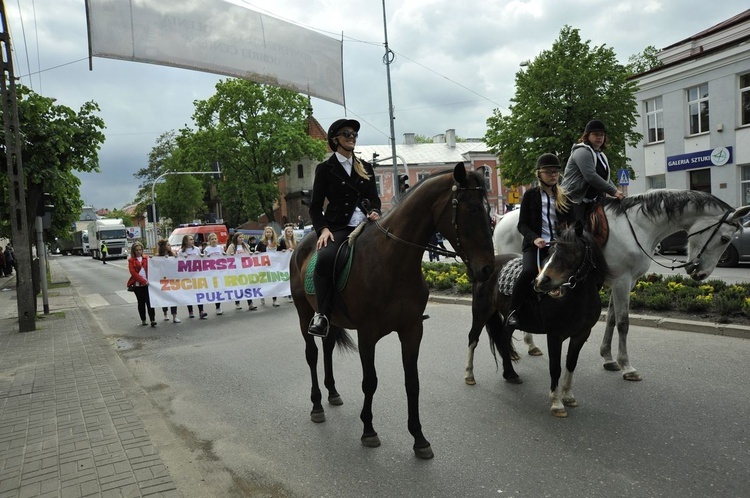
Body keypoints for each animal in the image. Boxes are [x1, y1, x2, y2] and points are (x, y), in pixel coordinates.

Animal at [290, 163, 496, 460]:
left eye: (489, 210)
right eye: (471, 209)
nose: (487, 269)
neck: (393, 261)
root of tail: (303, 241)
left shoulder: (412, 330)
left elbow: (413, 383)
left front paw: (419, 438)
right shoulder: (367, 335)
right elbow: (370, 381)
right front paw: (368, 430)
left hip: (331, 316)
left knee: (327, 348)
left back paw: (332, 393)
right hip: (304, 313)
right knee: (312, 354)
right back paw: (317, 404)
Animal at [470, 225, 612, 416]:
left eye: (573, 251)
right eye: (552, 251)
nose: (541, 281)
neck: (577, 299)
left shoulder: (581, 335)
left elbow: (571, 364)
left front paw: (568, 396)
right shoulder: (554, 336)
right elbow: (555, 367)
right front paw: (556, 402)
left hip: (508, 320)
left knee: (503, 340)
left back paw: (510, 374)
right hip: (481, 311)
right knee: (473, 339)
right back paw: (469, 376)